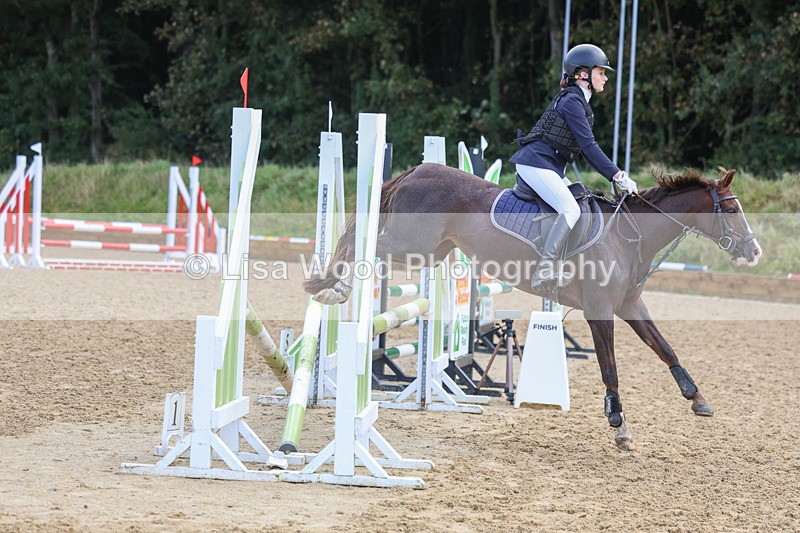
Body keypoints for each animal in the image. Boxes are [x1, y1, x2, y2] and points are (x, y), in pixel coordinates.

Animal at [304, 163, 762, 450]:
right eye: (732, 208)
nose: (754, 251)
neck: (628, 235)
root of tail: (421, 169)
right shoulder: (600, 309)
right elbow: (610, 368)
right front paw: (619, 425)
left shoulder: (630, 305)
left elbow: (665, 348)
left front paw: (697, 397)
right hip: (409, 244)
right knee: (362, 241)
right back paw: (333, 286)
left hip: (432, 251)